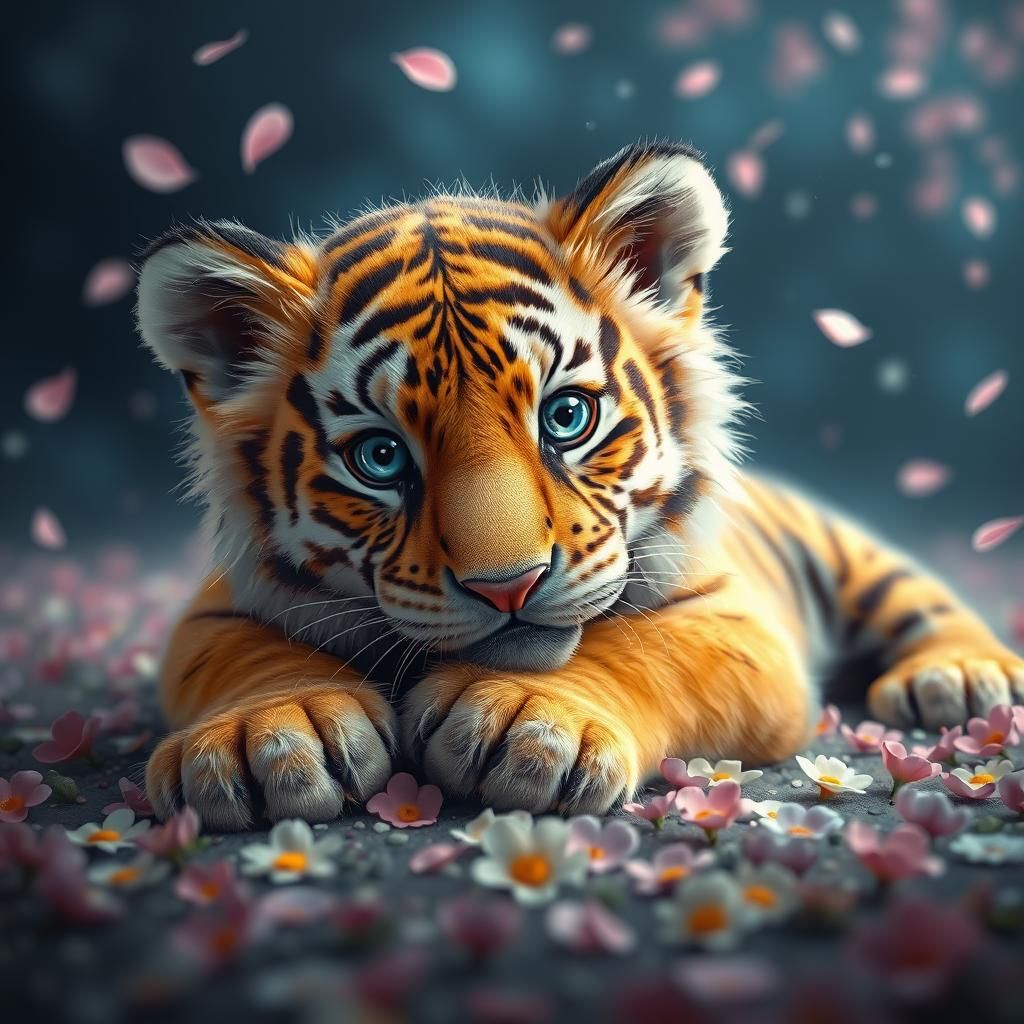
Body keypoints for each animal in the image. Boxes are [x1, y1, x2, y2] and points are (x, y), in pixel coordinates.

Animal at [136, 140, 1024, 830]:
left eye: (566, 417)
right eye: (381, 459)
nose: (507, 587)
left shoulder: (740, 621)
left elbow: (646, 645)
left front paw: (527, 717)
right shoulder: (216, 608)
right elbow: (246, 657)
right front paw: (265, 737)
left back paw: (959, 677)